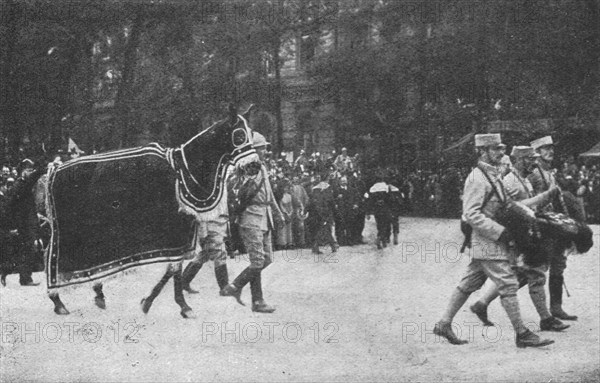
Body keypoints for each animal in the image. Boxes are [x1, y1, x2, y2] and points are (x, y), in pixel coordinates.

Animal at [42, 104, 258, 318]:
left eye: (251, 133)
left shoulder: (181, 234)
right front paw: (180, 305)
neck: (183, 171)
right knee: (51, 258)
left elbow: (173, 269)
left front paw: (151, 301)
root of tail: (53, 170)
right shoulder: (175, 233)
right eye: (239, 136)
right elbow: (174, 269)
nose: (254, 165)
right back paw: (57, 299)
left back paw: (96, 293)